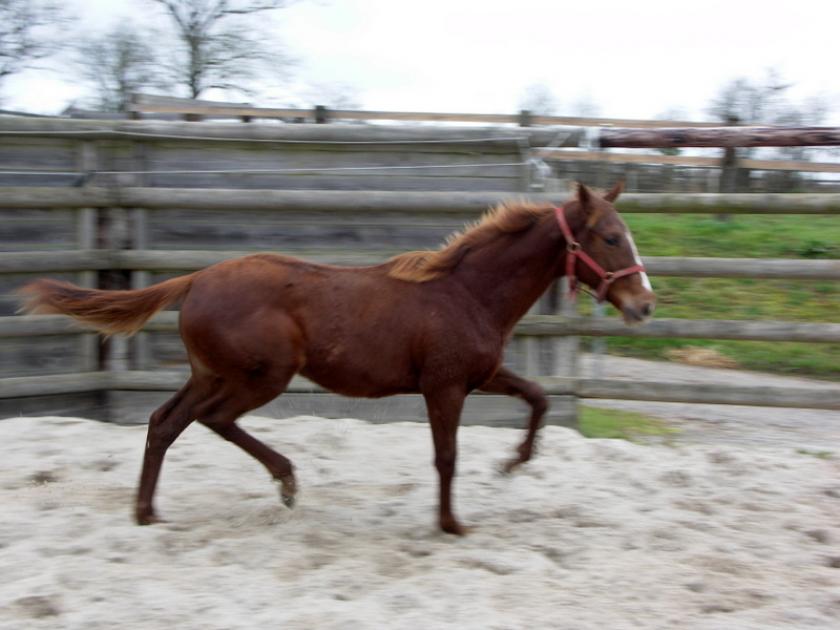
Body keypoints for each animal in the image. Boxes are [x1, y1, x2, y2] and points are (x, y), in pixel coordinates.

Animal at [19, 182, 655, 535]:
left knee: (164, 423)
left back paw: (148, 513)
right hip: (261, 376)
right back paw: (285, 481)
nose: (644, 304)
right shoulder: (444, 387)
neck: (467, 292)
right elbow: (446, 457)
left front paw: (513, 463)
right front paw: (451, 524)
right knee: (210, 420)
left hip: (210, 373)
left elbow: (539, 397)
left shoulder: (481, 376)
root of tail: (195, 279)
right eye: (608, 237)